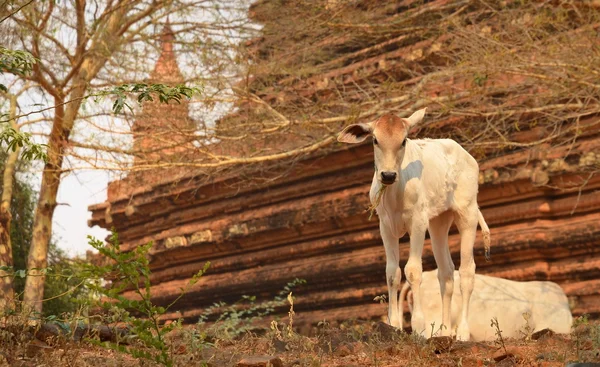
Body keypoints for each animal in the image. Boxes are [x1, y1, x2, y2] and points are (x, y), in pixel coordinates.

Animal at [336, 108, 490, 342]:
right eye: (375, 140)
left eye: (403, 141)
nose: (388, 174)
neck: (394, 193)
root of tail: (465, 154)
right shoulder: (385, 227)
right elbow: (392, 273)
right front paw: (394, 325)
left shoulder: (417, 222)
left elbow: (413, 270)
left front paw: (419, 327)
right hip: (438, 222)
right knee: (446, 272)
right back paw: (444, 331)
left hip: (467, 213)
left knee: (466, 271)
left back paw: (462, 332)